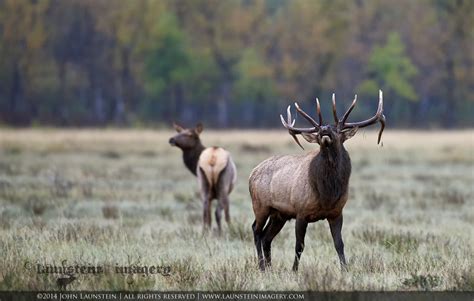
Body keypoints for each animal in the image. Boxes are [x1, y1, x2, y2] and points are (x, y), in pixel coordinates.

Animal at [248, 89, 386, 270]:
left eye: (337, 130)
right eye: (321, 129)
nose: (324, 129)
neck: (327, 194)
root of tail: (252, 174)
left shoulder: (336, 212)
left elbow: (339, 244)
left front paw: (345, 269)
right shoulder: (301, 212)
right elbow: (299, 246)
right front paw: (294, 270)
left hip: (279, 214)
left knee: (266, 237)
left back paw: (270, 268)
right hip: (261, 205)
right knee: (256, 231)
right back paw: (262, 267)